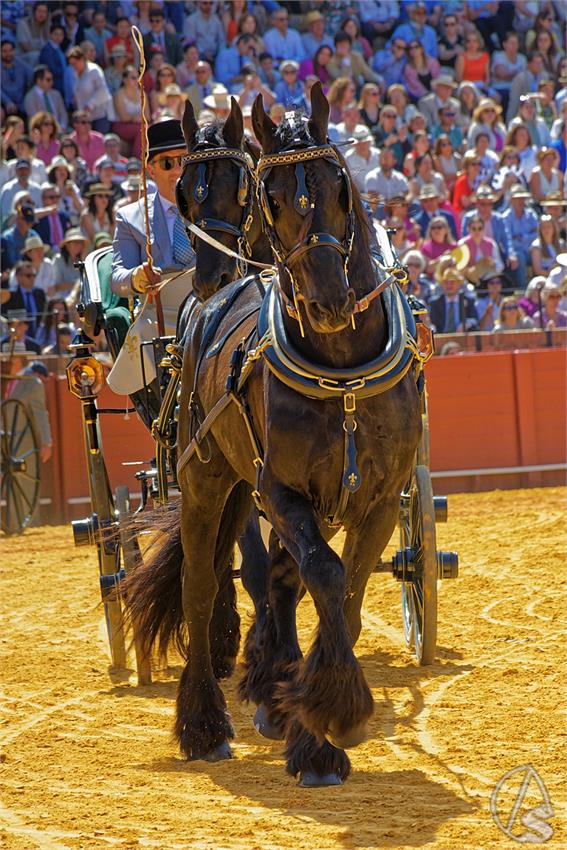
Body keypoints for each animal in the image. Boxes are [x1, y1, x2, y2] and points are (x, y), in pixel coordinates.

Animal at [126, 84, 424, 780]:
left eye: (340, 184)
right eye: (273, 197)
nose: (328, 303)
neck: (342, 369)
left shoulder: (376, 497)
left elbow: (347, 591)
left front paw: (311, 717)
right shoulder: (281, 491)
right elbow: (321, 575)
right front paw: (328, 721)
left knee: (280, 579)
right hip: (207, 479)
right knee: (204, 583)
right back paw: (205, 722)